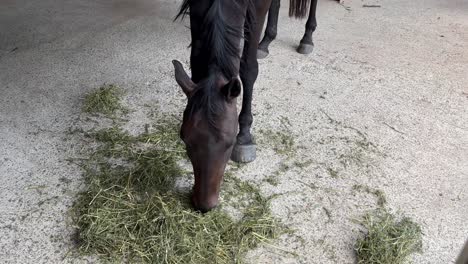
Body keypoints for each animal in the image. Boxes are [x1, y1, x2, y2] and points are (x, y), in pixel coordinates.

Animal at [174, 0, 312, 211]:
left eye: (230, 143)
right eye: (184, 138)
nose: (205, 206)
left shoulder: (258, 8)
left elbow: (248, 68)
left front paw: (245, 136)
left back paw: (307, 38)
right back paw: (266, 42)